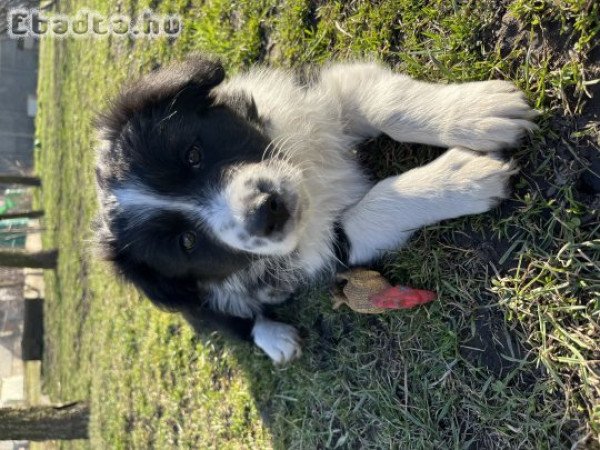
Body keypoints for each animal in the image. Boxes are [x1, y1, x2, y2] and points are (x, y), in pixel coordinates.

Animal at [95, 54, 540, 364]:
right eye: (187, 243)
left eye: (193, 155)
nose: (265, 212)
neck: (308, 181)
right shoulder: (331, 242)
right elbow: (375, 205)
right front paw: (466, 175)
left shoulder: (319, 101)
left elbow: (387, 105)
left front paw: (478, 111)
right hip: (191, 302)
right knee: (227, 318)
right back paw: (275, 339)